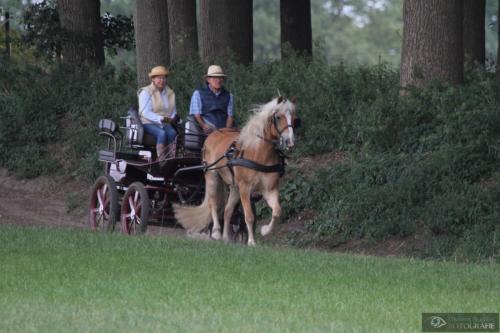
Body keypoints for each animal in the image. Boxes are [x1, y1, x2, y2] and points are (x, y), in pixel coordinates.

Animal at [173, 94, 296, 245]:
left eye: (294, 117)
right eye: (278, 117)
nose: (290, 141)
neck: (259, 153)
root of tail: (213, 134)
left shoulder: (269, 189)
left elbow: (277, 211)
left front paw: (264, 230)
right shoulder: (245, 188)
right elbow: (249, 216)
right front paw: (251, 241)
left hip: (234, 187)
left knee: (227, 211)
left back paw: (226, 237)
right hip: (212, 176)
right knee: (213, 203)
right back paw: (216, 232)